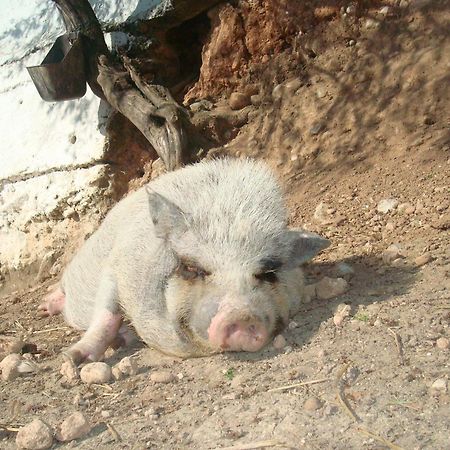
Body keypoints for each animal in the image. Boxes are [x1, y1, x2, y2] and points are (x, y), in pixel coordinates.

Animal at [38, 158, 328, 362]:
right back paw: (45, 307)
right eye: (190, 268)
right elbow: (106, 314)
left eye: (269, 273)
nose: (242, 315)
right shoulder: (116, 264)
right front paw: (71, 360)